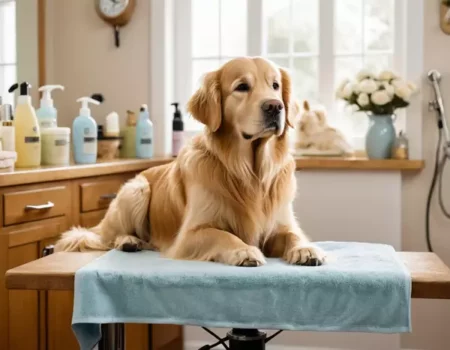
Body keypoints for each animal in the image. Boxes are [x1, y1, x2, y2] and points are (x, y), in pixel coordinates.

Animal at [54, 57, 326, 266]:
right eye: (242, 87)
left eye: (275, 85)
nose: (275, 107)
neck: (250, 171)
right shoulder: (190, 234)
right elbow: (223, 235)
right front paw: (244, 250)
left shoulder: (279, 223)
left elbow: (293, 234)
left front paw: (306, 249)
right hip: (136, 190)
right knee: (108, 237)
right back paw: (128, 241)